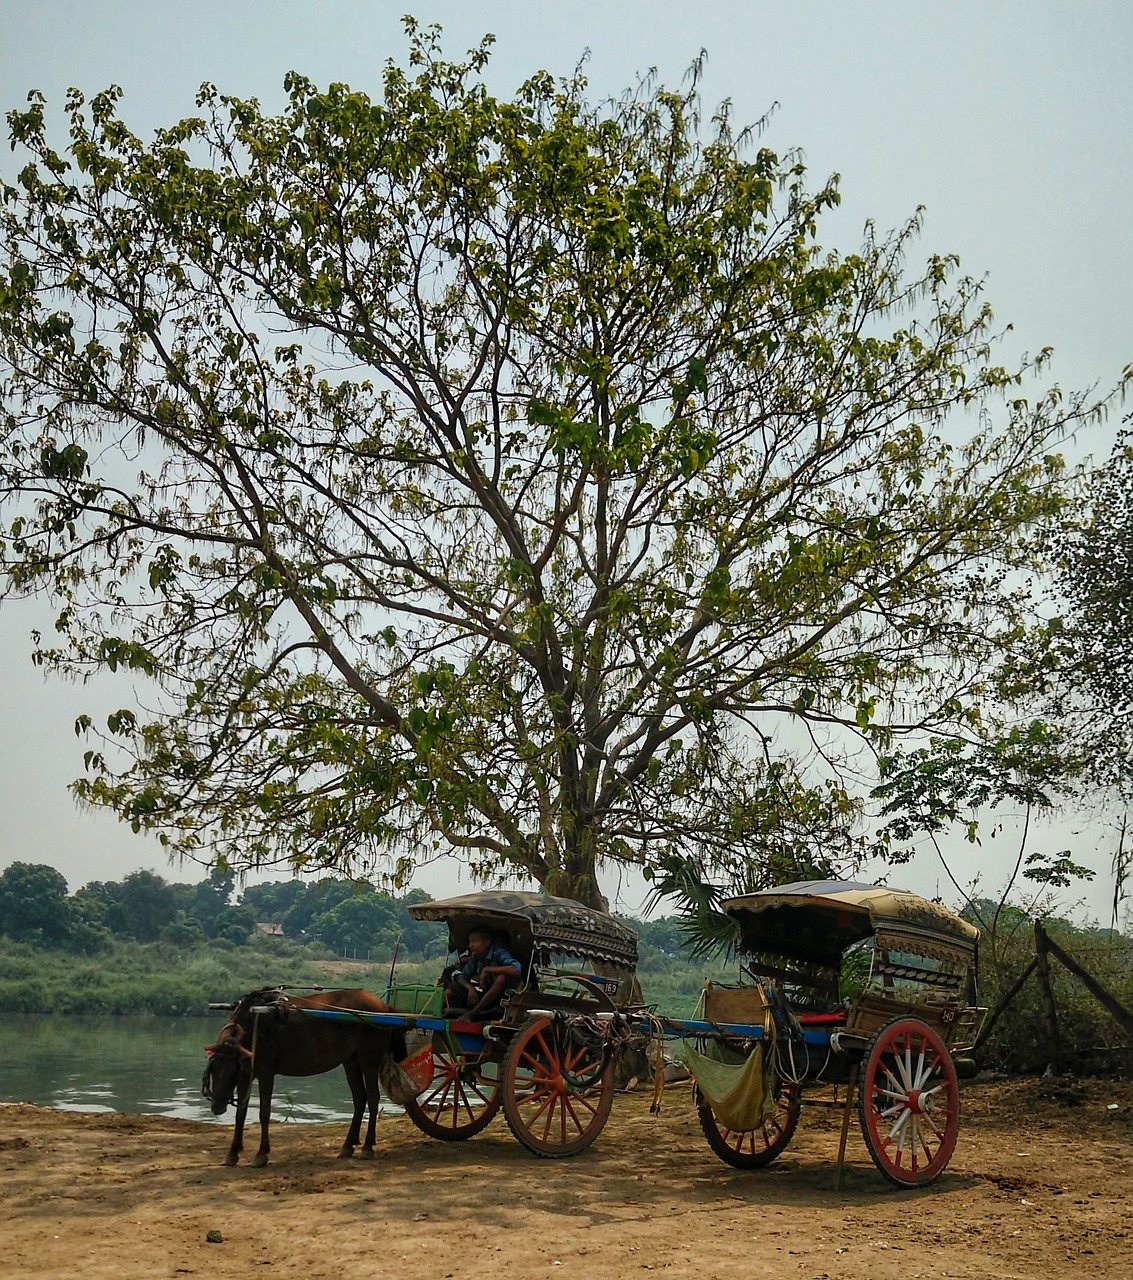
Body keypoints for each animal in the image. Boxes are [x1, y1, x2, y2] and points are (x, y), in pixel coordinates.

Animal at [200, 988, 404, 1172]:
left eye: (232, 1071)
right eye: (213, 1070)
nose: (217, 1107)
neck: (255, 1025)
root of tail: (383, 1006)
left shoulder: (266, 1073)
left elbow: (264, 1113)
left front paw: (262, 1154)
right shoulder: (246, 1075)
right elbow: (240, 1114)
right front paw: (233, 1153)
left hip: (368, 1060)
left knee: (373, 1099)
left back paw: (367, 1147)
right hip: (351, 1061)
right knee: (360, 1098)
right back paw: (348, 1145)